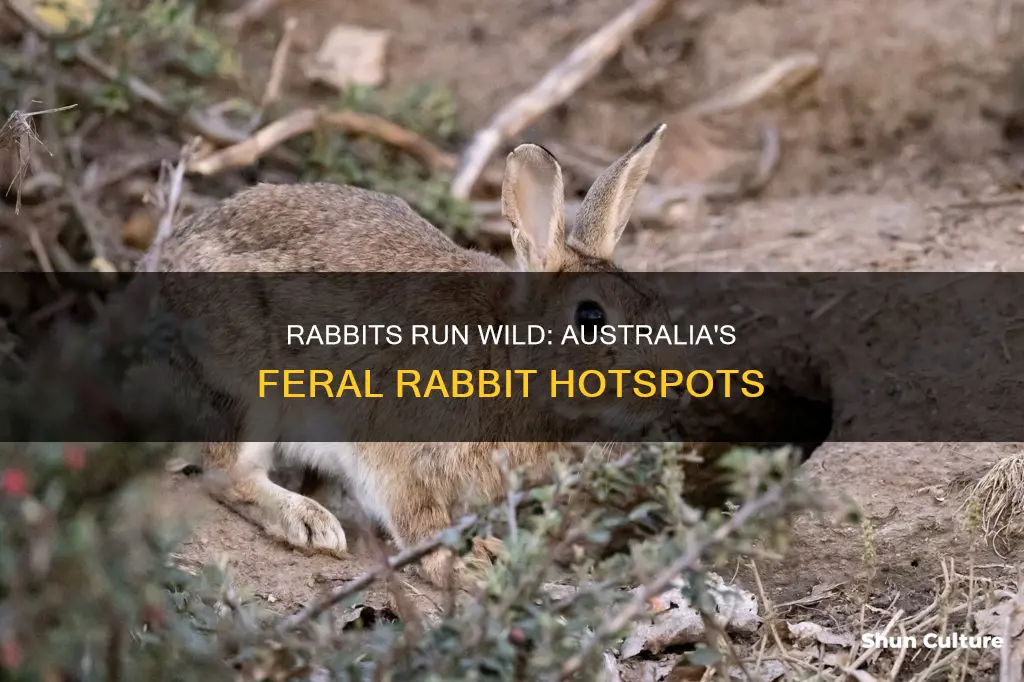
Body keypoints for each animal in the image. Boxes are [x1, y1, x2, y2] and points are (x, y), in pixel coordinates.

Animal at [147, 123, 686, 588]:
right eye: (591, 317)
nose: (671, 393)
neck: (509, 355)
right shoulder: (397, 458)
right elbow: (418, 522)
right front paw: (462, 567)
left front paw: (490, 550)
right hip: (245, 389)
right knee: (224, 474)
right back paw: (310, 523)